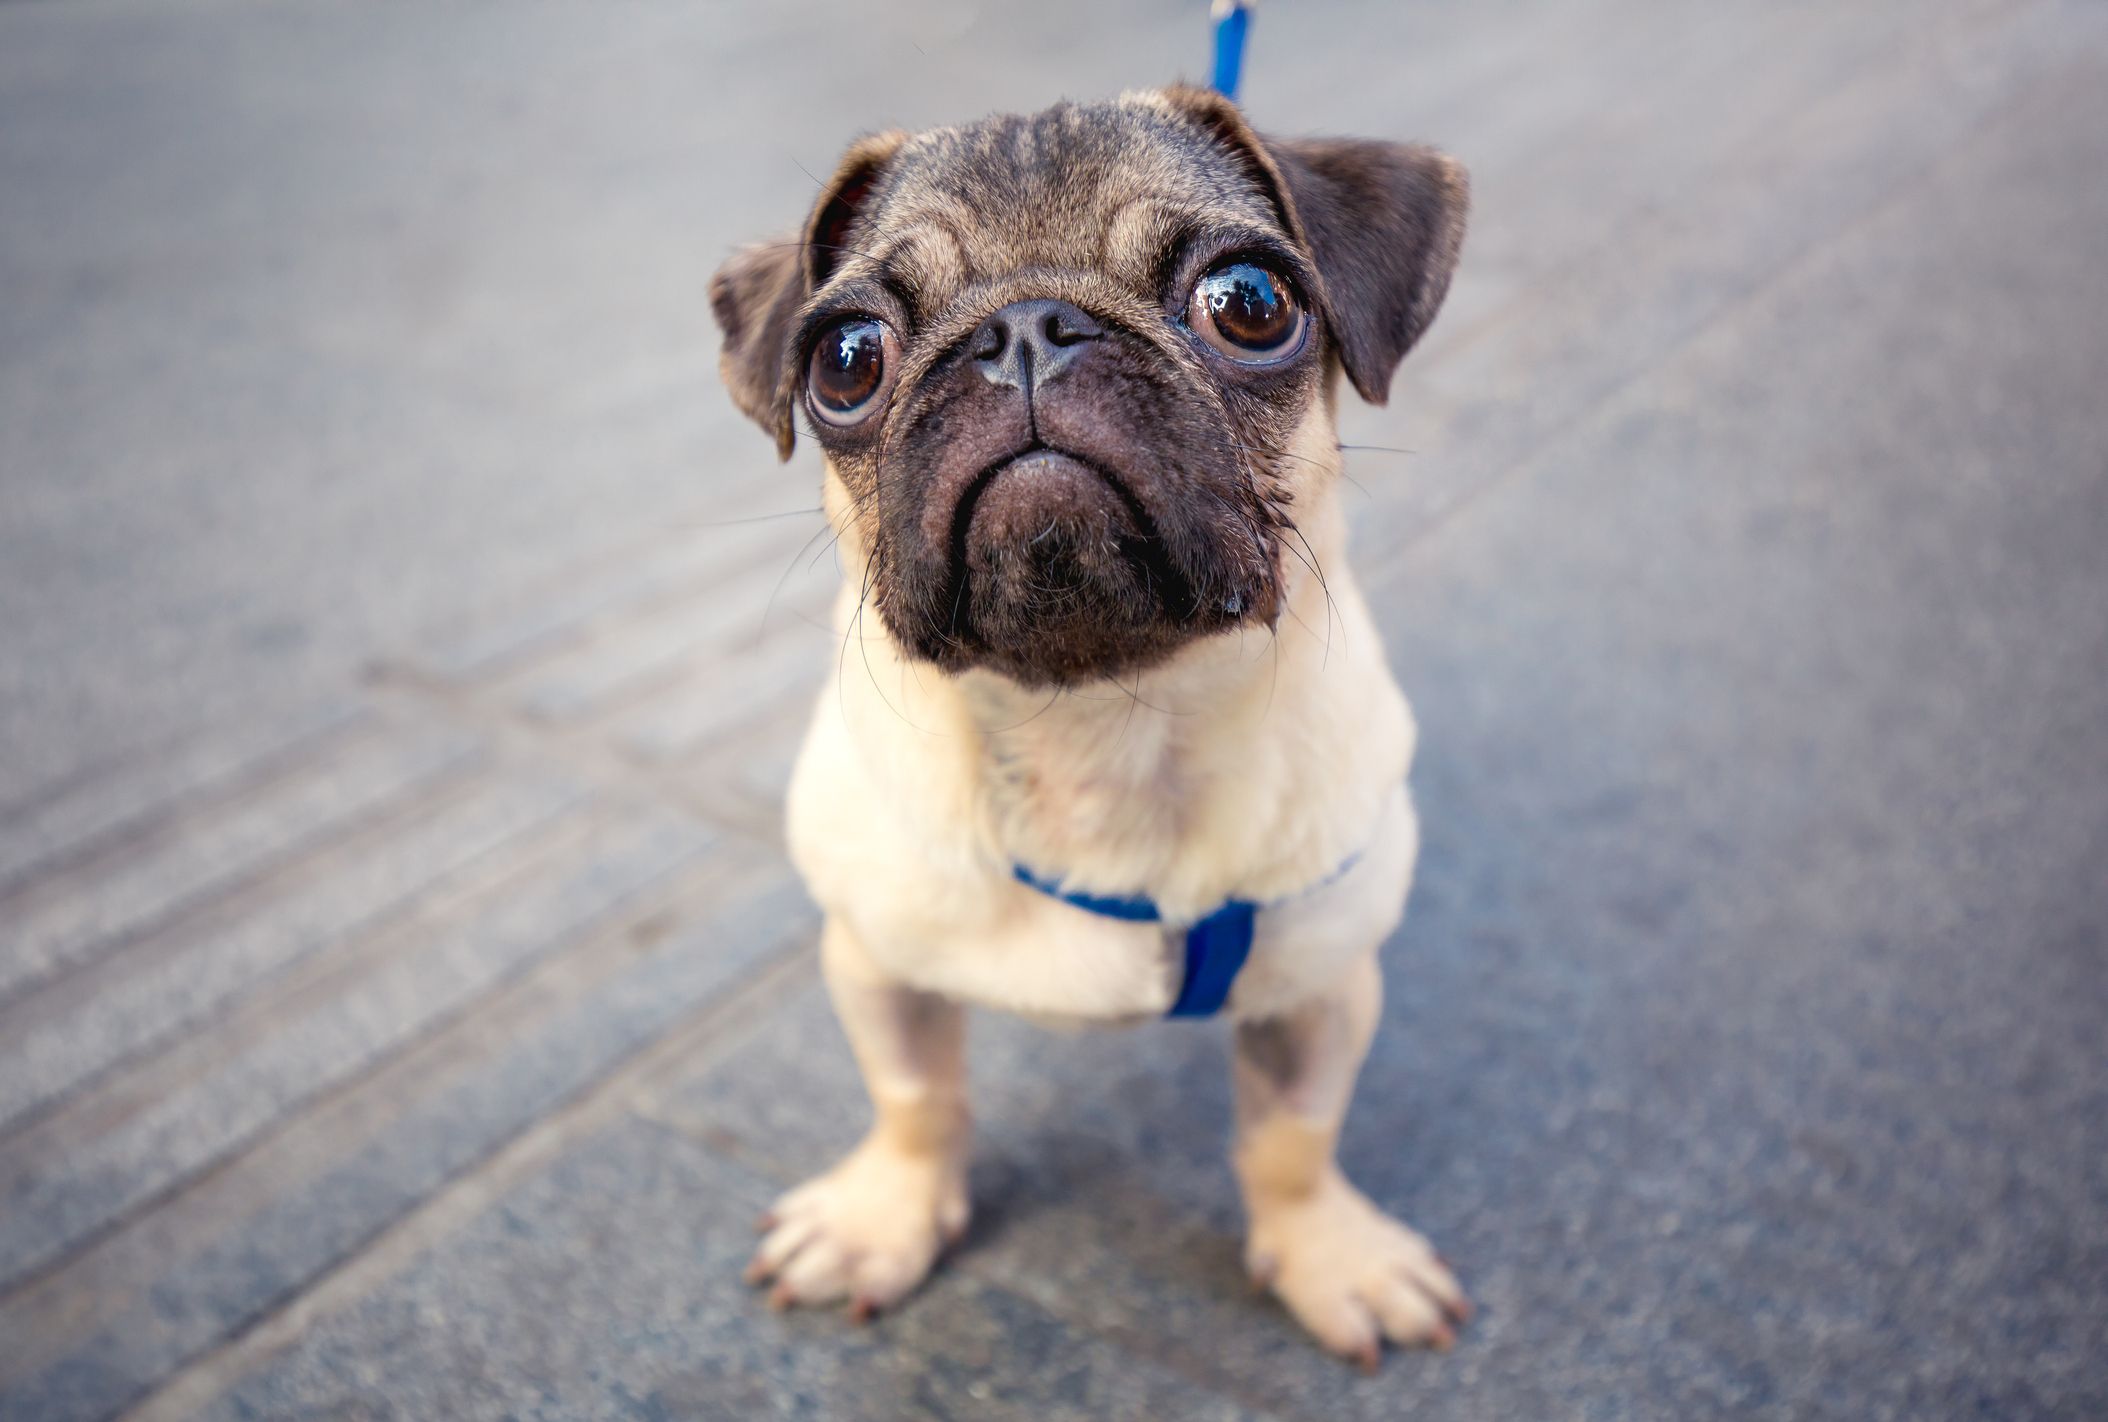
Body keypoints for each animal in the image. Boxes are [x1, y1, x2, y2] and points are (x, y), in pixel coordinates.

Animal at [708, 86, 1467, 1365]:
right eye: (845, 358)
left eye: (1249, 302)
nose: (1025, 329)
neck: (1099, 723)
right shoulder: (871, 957)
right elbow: (913, 1099)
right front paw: (883, 1220)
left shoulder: (1320, 985)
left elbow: (1293, 1139)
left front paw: (1329, 1256)